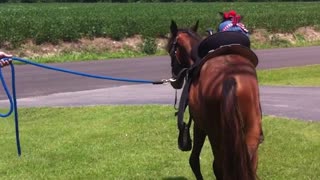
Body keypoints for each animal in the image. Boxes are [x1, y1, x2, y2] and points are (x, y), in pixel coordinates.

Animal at [166, 20, 264, 179]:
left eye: (170, 50)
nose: (175, 80)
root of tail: (231, 78)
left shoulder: (199, 126)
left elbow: (194, 160)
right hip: (250, 133)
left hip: (217, 136)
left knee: (219, 167)